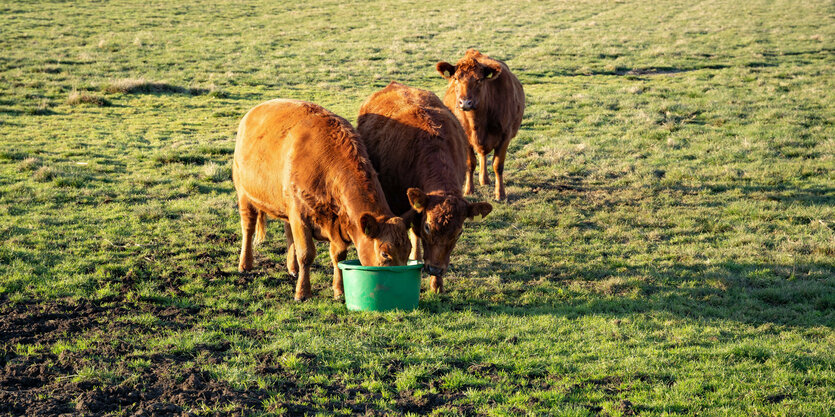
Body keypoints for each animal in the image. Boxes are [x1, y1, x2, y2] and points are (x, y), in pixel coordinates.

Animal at [232, 99, 412, 300]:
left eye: (408, 251)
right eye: (384, 254)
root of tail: (256, 109)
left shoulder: (333, 222)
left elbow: (338, 256)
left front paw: (339, 290)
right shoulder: (300, 215)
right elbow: (306, 254)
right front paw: (302, 292)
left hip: (285, 204)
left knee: (288, 232)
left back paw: (292, 268)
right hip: (244, 194)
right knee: (248, 227)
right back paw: (245, 264)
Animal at [434, 48, 524, 201]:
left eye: (479, 80)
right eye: (456, 79)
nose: (465, 102)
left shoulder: (505, 136)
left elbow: (498, 165)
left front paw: (500, 193)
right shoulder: (465, 138)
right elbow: (470, 164)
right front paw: (468, 189)